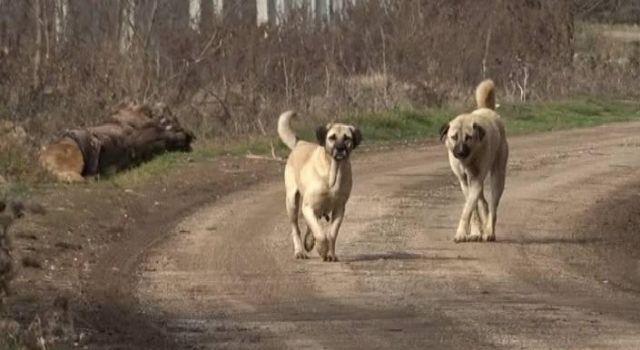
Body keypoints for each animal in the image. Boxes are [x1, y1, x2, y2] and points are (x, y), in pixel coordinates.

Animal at [278, 110, 362, 262]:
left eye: (347, 138)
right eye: (332, 138)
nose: (340, 149)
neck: (333, 173)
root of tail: (300, 143)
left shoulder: (339, 209)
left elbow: (332, 233)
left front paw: (330, 254)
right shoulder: (308, 207)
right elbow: (321, 234)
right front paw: (322, 249)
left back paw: (309, 241)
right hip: (292, 203)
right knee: (296, 228)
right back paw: (300, 251)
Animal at [438, 79, 508, 243]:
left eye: (468, 137)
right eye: (454, 137)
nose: (460, 152)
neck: (468, 161)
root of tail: (488, 110)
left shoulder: (475, 181)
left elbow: (467, 209)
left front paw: (461, 233)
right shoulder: (465, 182)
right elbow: (473, 209)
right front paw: (475, 232)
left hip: (498, 176)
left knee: (493, 206)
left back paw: (489, 231)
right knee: (484, 203)